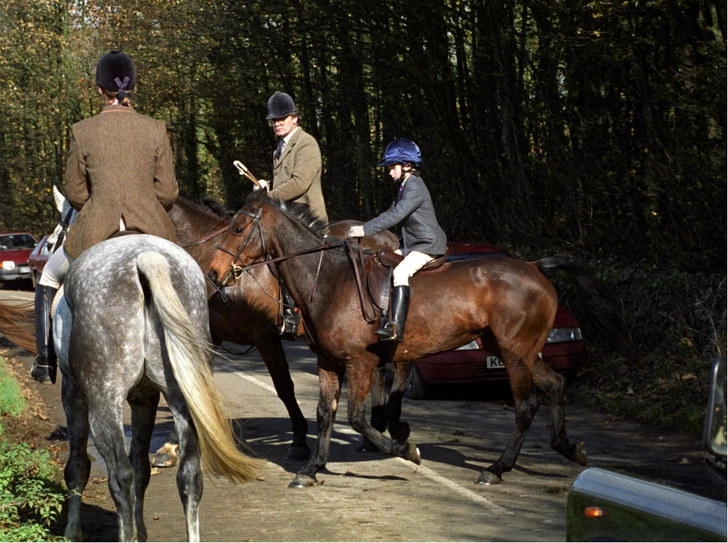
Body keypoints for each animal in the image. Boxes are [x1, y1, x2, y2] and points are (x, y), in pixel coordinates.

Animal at [56, 236, 262, 540]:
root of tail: (147, 257)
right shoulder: (146, 398)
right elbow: (142, 467)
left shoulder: (73, 393)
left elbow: (78, 466)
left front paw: (72, 532)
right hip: (181, 399)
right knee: (189, 476)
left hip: (104, 403)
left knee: (120, 477)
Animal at [205, 192, 624, 488]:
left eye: (238, 229)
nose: (212, 274)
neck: (329, 279)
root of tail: (535, 267)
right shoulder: (329, 361)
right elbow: (325, 413)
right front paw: (310, 469)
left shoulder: (361, 362)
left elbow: (357, 418)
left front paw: (406, 449)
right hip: (514, 348)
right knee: (555, 384)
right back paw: (568, 448)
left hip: (514, 352)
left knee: (525, 405)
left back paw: (497, 468)